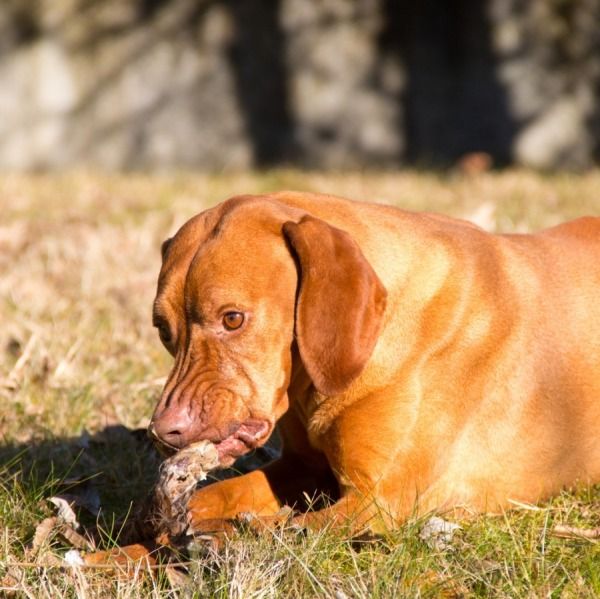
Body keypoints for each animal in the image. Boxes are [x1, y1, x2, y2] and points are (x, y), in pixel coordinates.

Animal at [143, 190, 596, 536]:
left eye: (233, 319)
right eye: (163, 330)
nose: (163, 431)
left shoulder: (375, 503)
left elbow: (266, 530)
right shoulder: (302, 467)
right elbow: (212, 496)